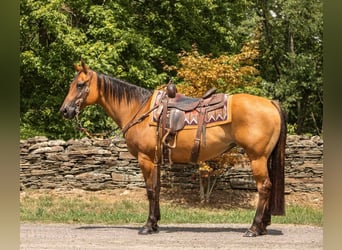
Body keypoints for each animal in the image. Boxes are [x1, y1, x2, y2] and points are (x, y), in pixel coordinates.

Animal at [60, 61, 288, 237]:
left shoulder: (145, 159)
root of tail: (270, 103)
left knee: (264, 187)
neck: (139, 109)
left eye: (80, 85)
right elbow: (157, 188)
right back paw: (263, 226)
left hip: (257, 157)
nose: (65, 110)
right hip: (265, 157)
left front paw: (148, 225)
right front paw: (155, 222)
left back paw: (254, 228)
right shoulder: (156, 160)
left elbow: (150, 190)